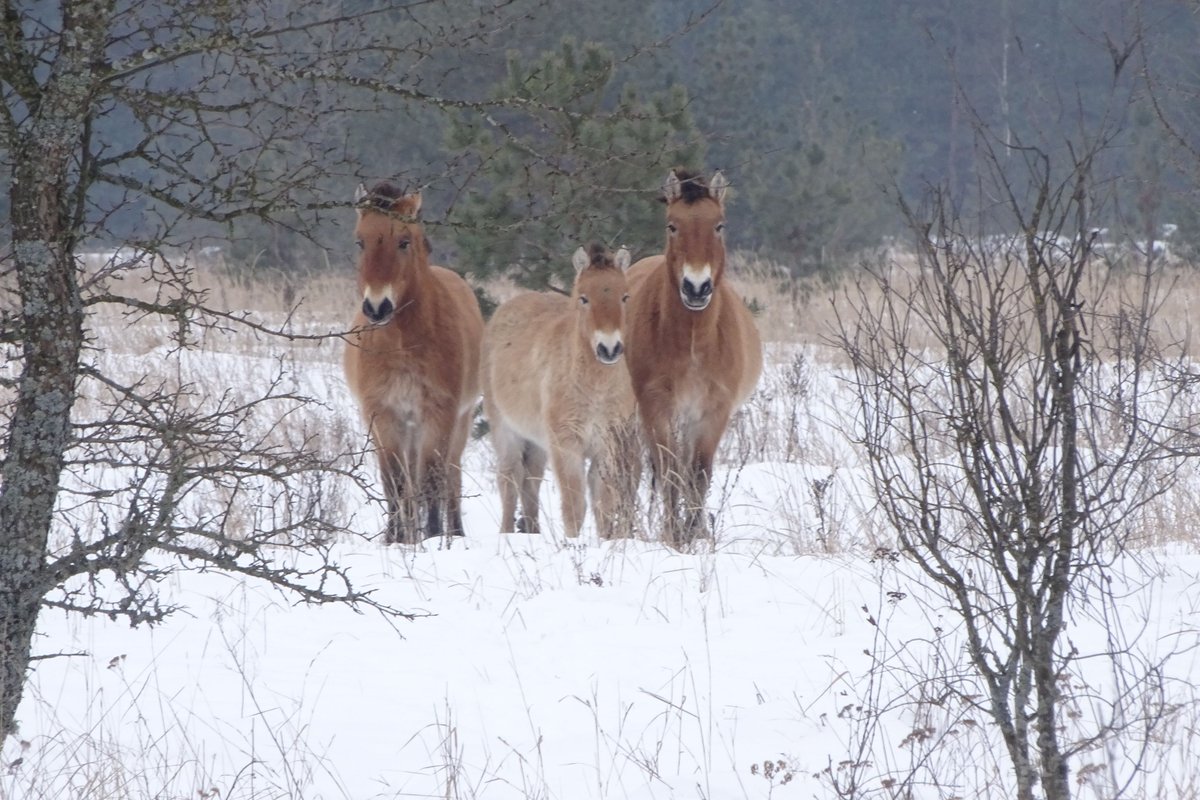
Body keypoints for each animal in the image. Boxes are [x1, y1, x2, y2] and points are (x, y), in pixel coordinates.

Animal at [343, 181, 484, 544]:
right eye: (359, 241)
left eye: (403, 241)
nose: (377, 307)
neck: (401, 345)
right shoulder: (384, 416)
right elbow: (395, 483)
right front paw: (394, 539)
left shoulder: (439, 413)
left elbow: (432, 480)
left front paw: (433, 537)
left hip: (457, 422)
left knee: (451, 478)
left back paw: (454, 533)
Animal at [481, 243, 640, 539]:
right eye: (583, 298)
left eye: (625, 297)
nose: (609, 349)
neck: (595, 388)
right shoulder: (567, 444)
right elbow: (574, 505)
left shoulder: (607, 445)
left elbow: (603, 503)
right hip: (505, 430)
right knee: (509, 479)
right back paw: (507, 533)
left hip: (537, 441)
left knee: (531, 481)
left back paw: (532, 530)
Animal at [624, 170, 763, 547]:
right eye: (672, 225)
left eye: (719, 225)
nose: (696, 287)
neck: (692, 342)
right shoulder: (657, 408)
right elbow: (669, 471)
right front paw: (673, 534)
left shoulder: (713, 412)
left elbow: (698, 474)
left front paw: (694, 533)